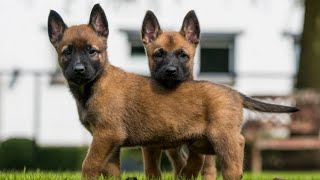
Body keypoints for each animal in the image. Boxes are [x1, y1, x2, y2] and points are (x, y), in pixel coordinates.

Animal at [141, 10, 218, 179]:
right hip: (172, 149)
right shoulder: (150, 147)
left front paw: (188, 174)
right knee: (178, 162)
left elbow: (196, 162)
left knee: (207, 166)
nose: (171, 71)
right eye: (158, 54)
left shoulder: (196, 141)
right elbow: (152, 170)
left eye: (183, 55)